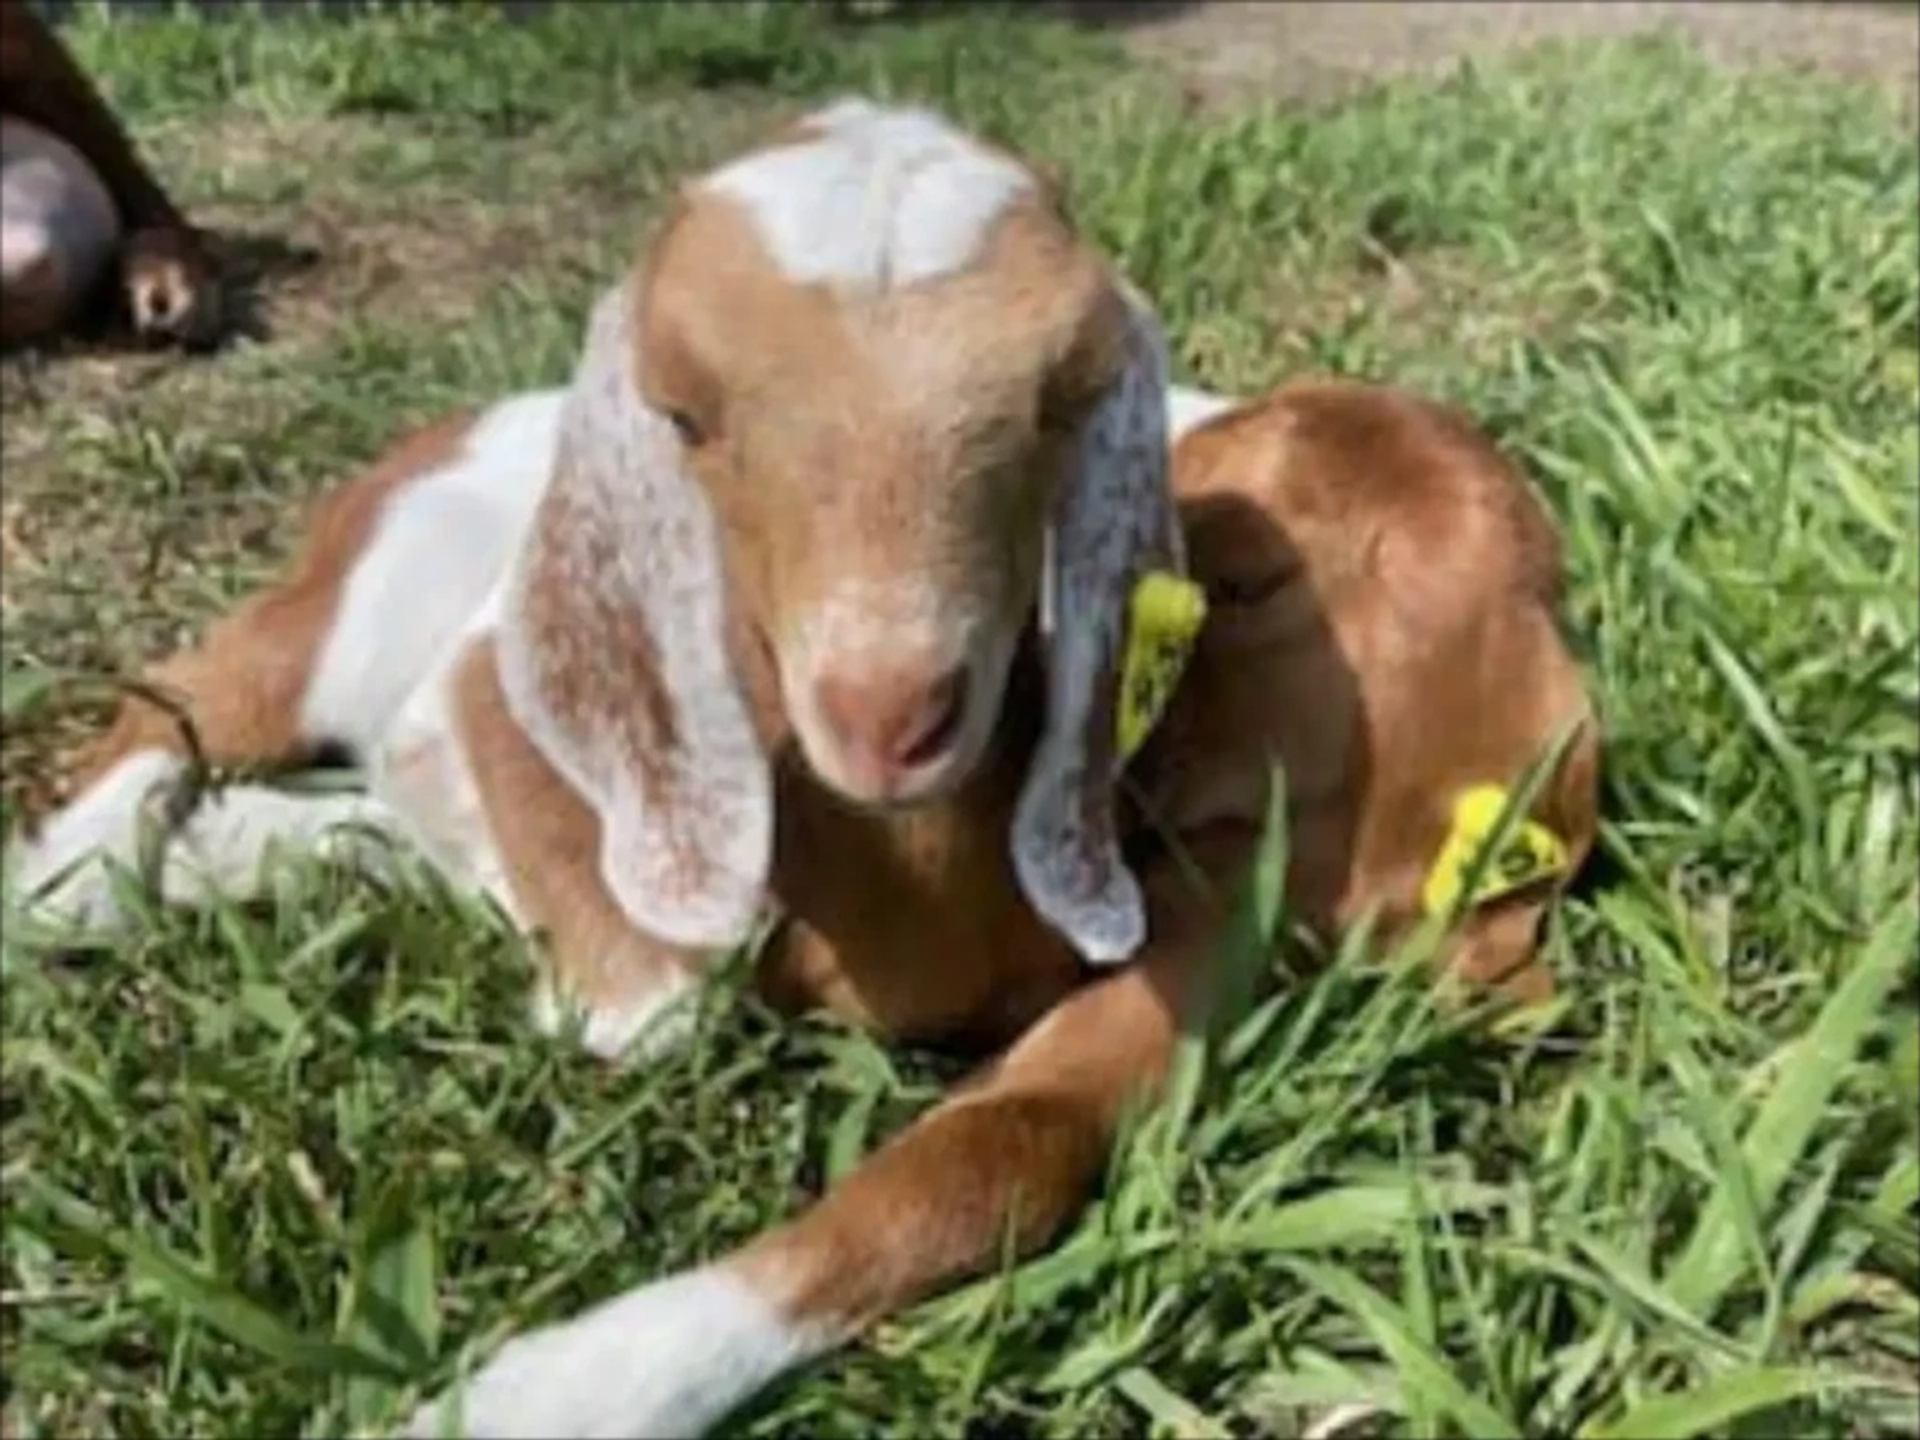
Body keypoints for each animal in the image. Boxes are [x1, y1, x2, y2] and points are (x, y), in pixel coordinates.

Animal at [6, 99, 1599, 1438]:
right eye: (690, 417)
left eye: (1064, 416)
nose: (896, 714)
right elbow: (643, 976)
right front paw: (537, 1396)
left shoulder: (1227, 924)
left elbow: (1003, 1149)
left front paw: (576, 1381)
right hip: (361, 590)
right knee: (197, 696)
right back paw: (79, 879)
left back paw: (222, 853)